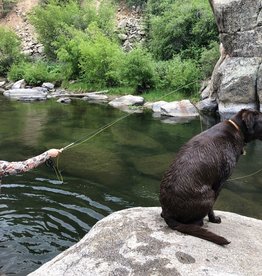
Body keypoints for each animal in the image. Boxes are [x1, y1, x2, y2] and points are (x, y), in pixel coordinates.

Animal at [159, 109, 262, 245]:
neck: (237, 128)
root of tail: (168, 214)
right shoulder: (219, 183)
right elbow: (212, 209)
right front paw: (214, 219)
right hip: (209, 195)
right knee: (196, 222)